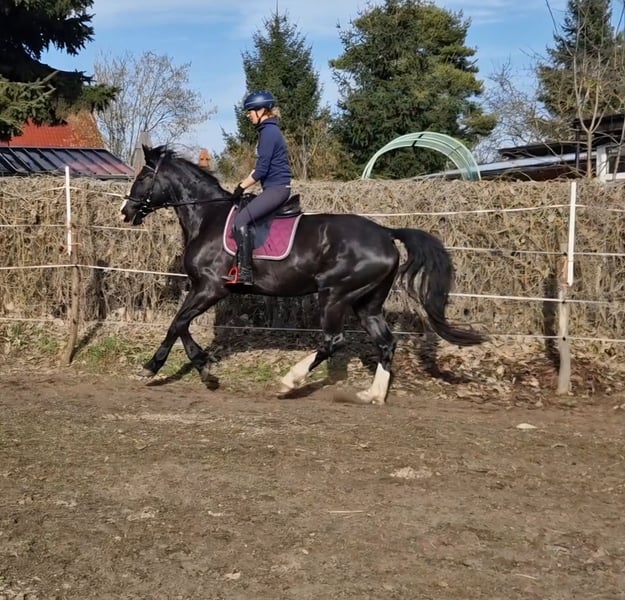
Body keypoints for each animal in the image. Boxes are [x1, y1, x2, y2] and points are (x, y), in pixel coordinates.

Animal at [120, 144, 486, 404]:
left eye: (142, 177)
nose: (126, 211)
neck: (207, 216)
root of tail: (385, 232)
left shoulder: (211, 288)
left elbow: (177, 323)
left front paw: (154, 368)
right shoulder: (202, 289)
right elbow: (182, 325)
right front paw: (203, 367)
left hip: (335, 295)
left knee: (332, 341)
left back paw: (289, 381)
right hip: (366, 303)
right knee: (386, 343)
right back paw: (372, 395)